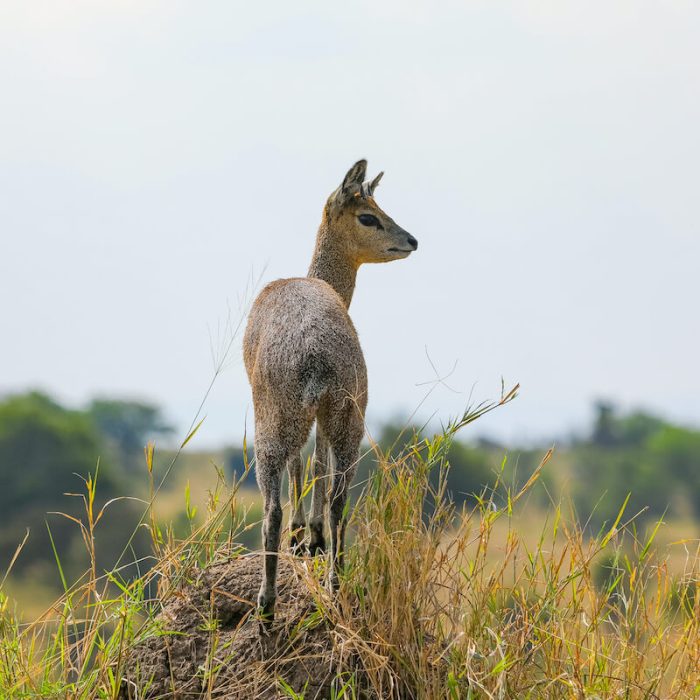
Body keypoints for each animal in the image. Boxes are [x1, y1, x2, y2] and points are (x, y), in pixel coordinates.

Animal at [242, 160, 416, 616]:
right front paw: (313, 538)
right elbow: (317, 466)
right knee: (340, 496)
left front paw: (306, 535)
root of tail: (315, 352)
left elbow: (305, 465)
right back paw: (334, 580)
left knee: (273, 505)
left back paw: (267, 602)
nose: (411, 240)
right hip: (348, 420)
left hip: (275, 425)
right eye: (368, 215)